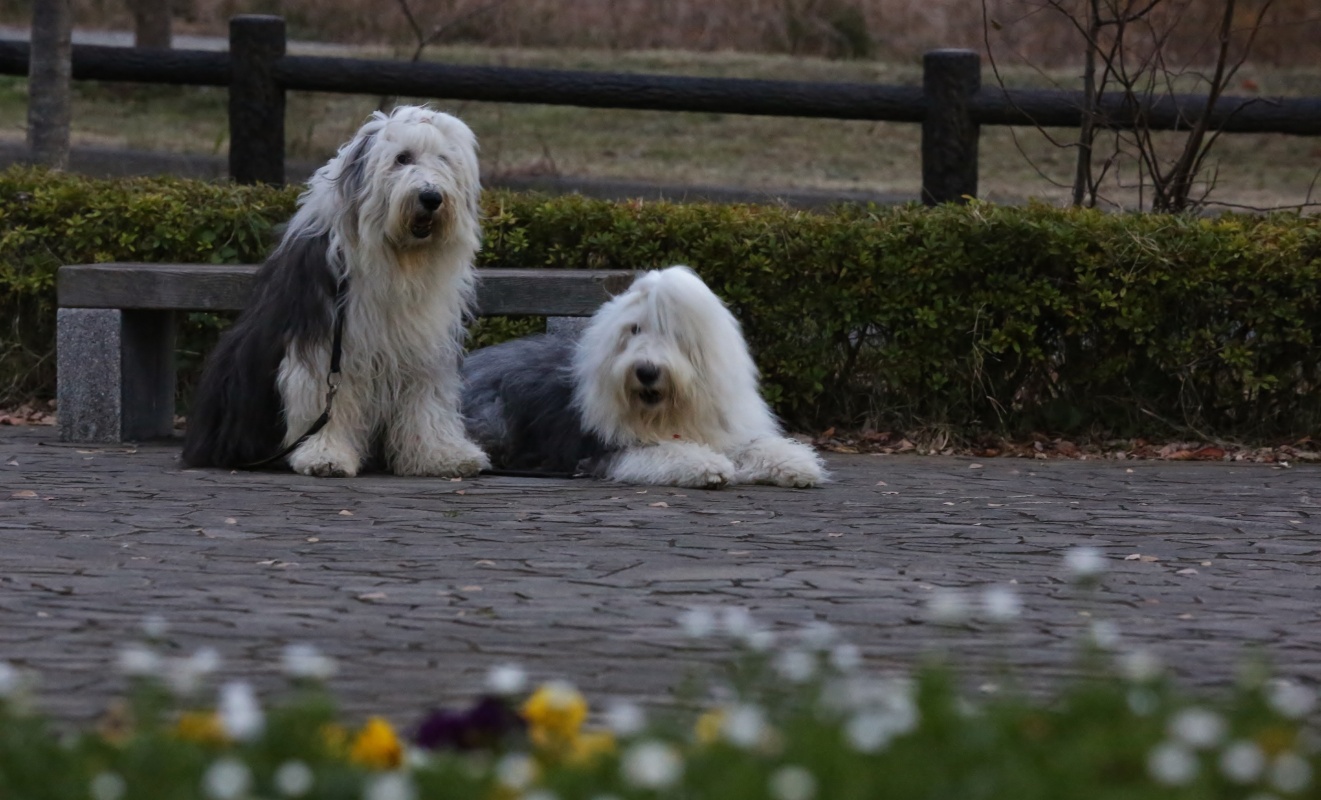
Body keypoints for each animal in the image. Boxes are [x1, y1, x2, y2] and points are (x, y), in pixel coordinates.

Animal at [182, 106, 490, 478]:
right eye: (402, 158)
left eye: (444, 160)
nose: (431, 197)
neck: (399, 259)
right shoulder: (326, 341)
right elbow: (327, 397)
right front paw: (324, 455)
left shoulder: (425, 345)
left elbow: (427, 400)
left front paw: (440, 455)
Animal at [462, 266, 826, 488]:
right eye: (634, 329)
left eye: (675, 333)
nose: (646, 371)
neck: (666, 414)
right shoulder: (606, 450)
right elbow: (663, 452)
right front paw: (707, 466)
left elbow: (752, 445)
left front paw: (794, 463)